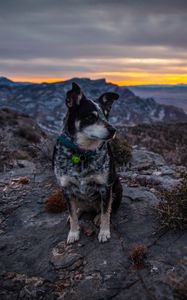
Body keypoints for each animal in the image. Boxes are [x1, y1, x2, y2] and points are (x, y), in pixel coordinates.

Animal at [53, 82, 122, 244]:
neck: (82, 153)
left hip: (117, 187)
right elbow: (72, 214)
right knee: (77, 209)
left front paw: (104, 232)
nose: (114, 130)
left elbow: (106, 212)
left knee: (107, 208)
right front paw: (73, 233)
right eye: (91, 116)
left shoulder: (105, 187)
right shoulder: (66, 189)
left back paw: (97, 217)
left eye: (106, 115)